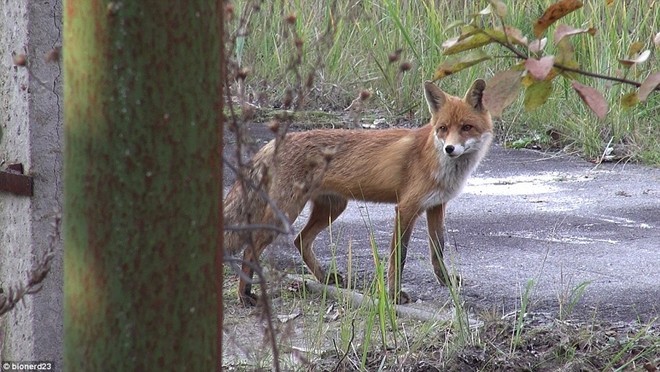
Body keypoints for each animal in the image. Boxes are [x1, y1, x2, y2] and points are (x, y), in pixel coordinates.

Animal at [224, 80, 492, 306]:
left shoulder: (436, 206)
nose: (450, 149)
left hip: (331, 209)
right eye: (443, 128)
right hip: (287, 212)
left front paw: (445, 282)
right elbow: (399, 257)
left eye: (466, 128)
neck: (436, 161)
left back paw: (325, 278)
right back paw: (244, 294)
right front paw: (394, 295)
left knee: (300, 240)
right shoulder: (406, 208)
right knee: (252, 246)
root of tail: (275, 142)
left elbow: (438, 250)